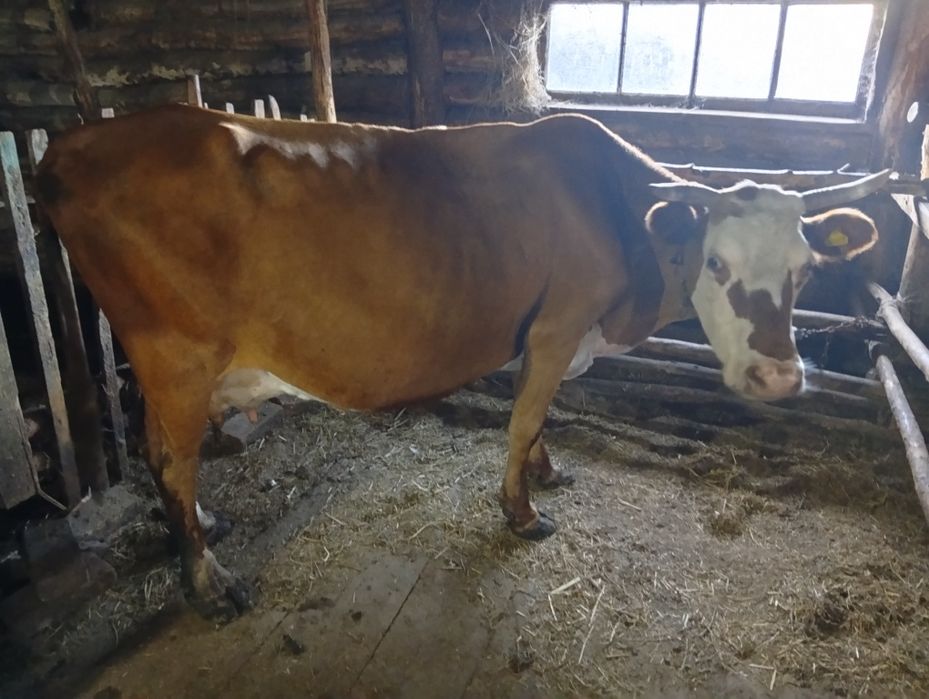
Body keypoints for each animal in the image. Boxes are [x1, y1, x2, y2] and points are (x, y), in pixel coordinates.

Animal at [35, 105, 887, 618]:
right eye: (715, 263)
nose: (778, 376)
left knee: (160, 452)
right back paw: (209, 580)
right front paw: (521, 511)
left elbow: (543, 420)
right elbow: (522, 420)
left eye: (805, 270)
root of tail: (79, 140)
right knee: (170, 457)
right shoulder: (555, 327)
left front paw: (547, 472)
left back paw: (203, 528)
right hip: (174, 352)